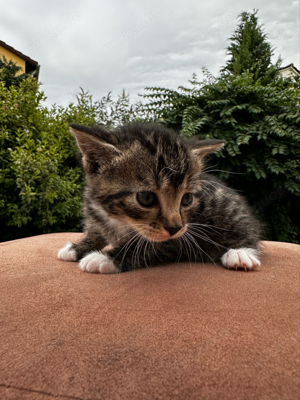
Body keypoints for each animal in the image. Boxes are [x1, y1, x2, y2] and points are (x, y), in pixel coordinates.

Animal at [58, 122, 260, 274]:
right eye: (146, 197)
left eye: (187, 199)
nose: (175, 227)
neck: (121, 219)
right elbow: (96, 232)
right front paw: (77, 248)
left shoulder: (180, 236)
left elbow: (148, 246)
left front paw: (105, 258)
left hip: (231, 212)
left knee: (249, 231)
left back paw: (241, 254)